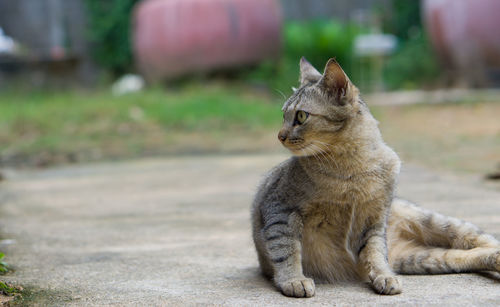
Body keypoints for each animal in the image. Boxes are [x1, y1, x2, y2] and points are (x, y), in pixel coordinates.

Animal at [250, 57, 500, 298]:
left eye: (301, 116)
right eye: (283, 115)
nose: (280, 135)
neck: (353, 167)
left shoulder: (374, 220)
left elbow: (374, 253)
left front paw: (383, 275)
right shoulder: (279, 209)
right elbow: (286, 250)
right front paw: (293, 280)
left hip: (436, 222)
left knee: (480, 240)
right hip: (423, 258)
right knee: (462, 255)